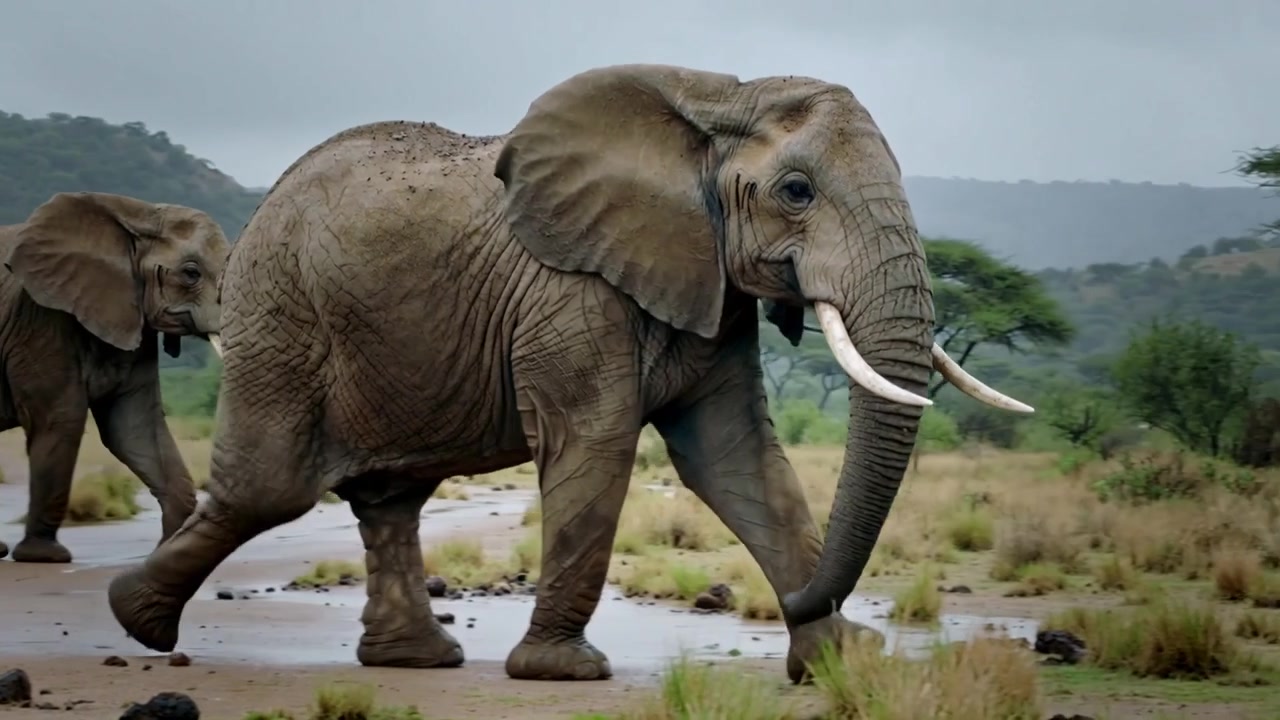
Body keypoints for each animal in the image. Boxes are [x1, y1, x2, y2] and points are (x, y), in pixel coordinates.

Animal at [0, 192, 229, 563]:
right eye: (191, 273)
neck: (137, 213)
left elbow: (134, 427)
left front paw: (166, 551)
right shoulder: (40, 319)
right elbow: (60, 419)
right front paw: (43, 556)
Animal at [107, 63, 1030, 683]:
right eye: (797, 191)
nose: (810, 605)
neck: (719, 98)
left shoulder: (708, 283)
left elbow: (735, 459)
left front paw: (843, 663)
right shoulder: (569, 290)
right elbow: (597, 442)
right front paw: (564, 671)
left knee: (387, 496)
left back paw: (414, 660)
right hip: (280, 313)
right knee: (271, 489)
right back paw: (135, 621)